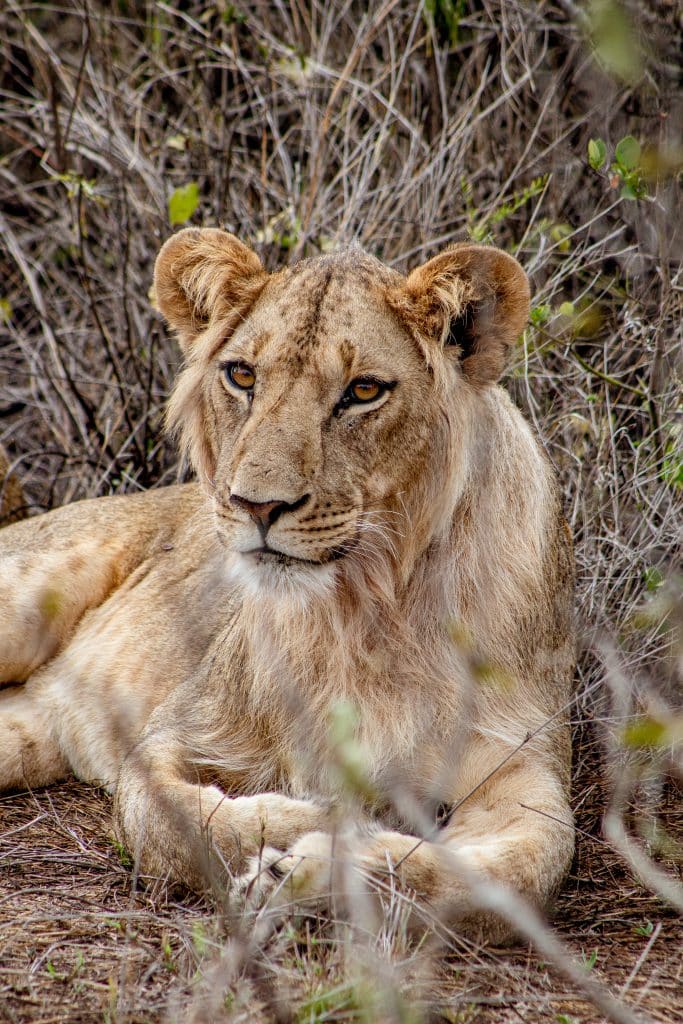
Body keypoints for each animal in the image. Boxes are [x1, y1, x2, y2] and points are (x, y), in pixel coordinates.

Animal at [0, 229, 575, 942]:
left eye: (364, 390)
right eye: (242, 375)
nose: (257, 505)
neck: (368, 611)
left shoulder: (519, 760)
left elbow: (521, 873)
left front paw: (309, 873)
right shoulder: (182, 729)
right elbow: (174, 820)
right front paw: (329, 824)